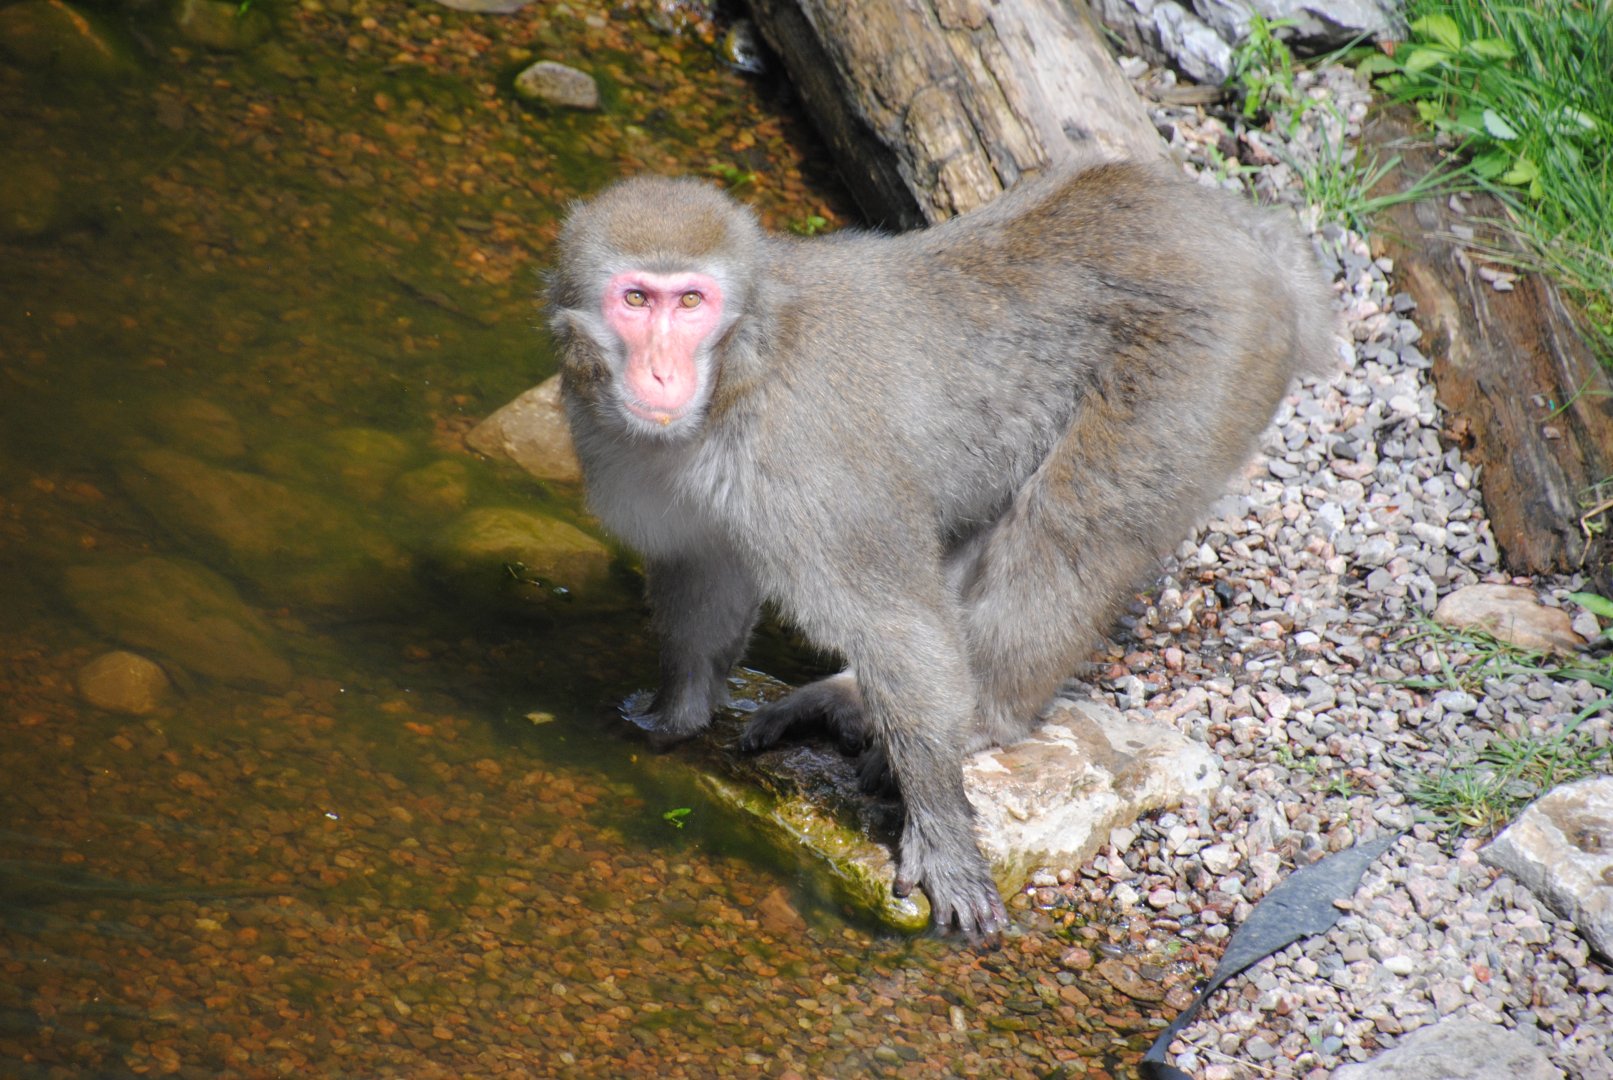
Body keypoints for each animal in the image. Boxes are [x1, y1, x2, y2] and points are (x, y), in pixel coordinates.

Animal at [547, 158, 1334, 939]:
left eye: (690, 303)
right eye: (636, 298)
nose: (660, 372)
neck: (739, 370)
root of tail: (1223, 221)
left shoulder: (808, 461)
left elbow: (900, 626)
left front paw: (942, 836)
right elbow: (704, 574)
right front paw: (672, 713)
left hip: (1203, 360)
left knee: (1074, 528)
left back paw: (987, 715)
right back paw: (849, 698)